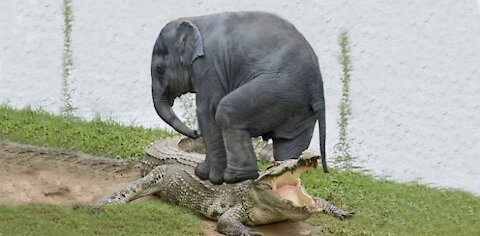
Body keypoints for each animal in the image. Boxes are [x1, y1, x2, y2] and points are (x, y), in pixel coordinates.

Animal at [152, 11, 328, 184]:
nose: (195, 132)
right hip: (299, 107)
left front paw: (208, 176)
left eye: (159, 69)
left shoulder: (209, 65)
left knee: (226, 112)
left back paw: (236, 177)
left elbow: (207, 111)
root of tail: (317, 86)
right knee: (288, 143)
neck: (196, 19)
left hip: (278, 89)